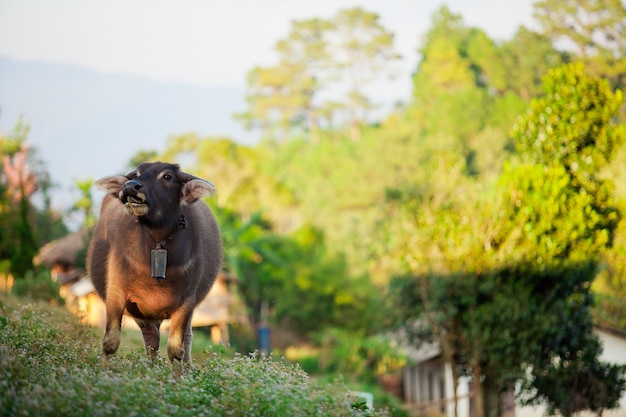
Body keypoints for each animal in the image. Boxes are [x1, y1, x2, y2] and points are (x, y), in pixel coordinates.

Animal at [86, 162, 223, 364]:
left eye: (167, 176)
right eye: (137, 173)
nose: (130, 186)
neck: (158, 244)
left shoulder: (187, 301)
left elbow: (175, 350)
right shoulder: (116, 292)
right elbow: (111, 342)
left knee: (185, 338)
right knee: (152, 338)